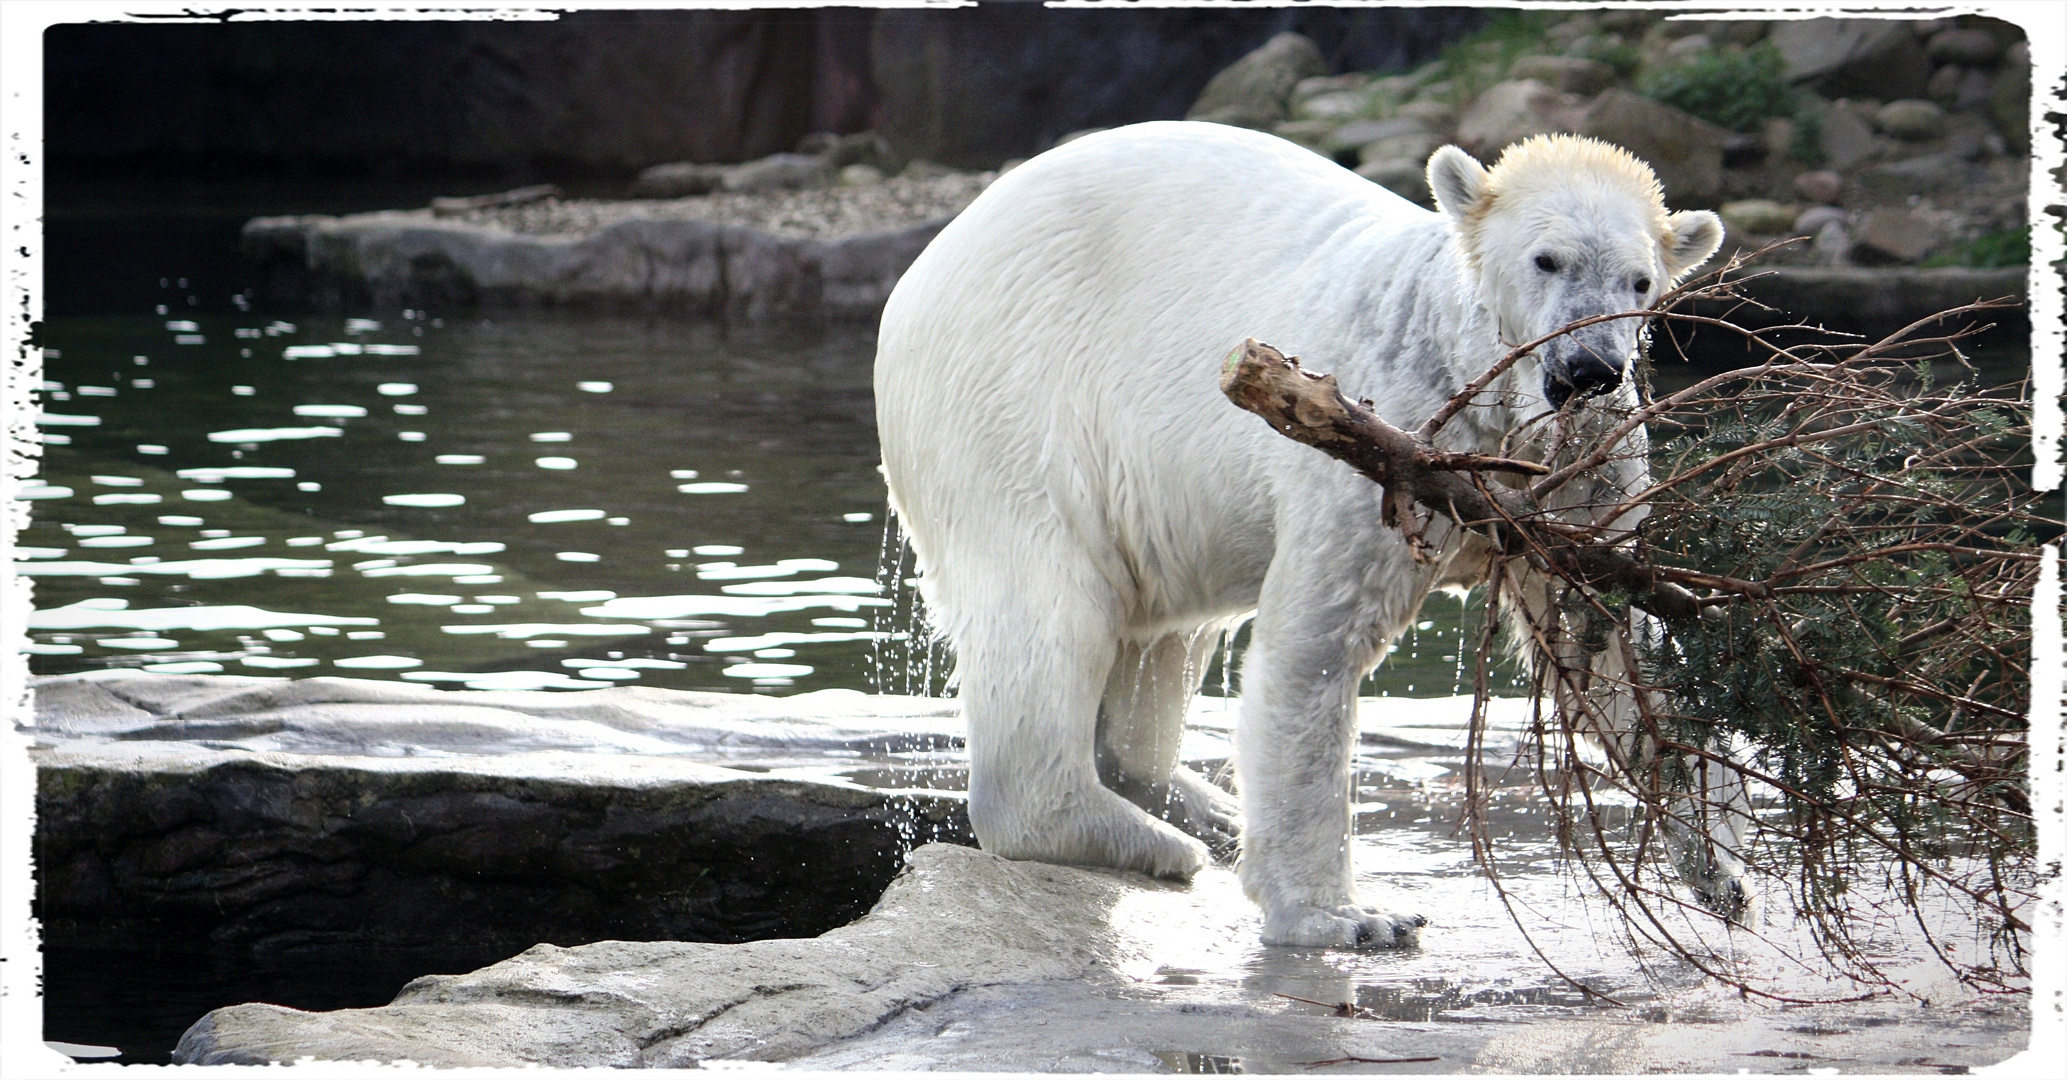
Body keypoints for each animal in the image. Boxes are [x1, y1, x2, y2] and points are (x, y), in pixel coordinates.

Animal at [872, 119, 1728, 943]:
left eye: (1639, 282)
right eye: (1546, 260)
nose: (1589, 369)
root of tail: (930, 260)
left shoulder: (1582, 475)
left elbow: (1605, 638)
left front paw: (1722, 871)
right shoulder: (1387, 440)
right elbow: (1315, 649)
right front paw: (1350, 917)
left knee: (1163, 633)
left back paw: (1203, 809)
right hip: (1013, 398)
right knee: (1047, 605)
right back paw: (1147, 838)